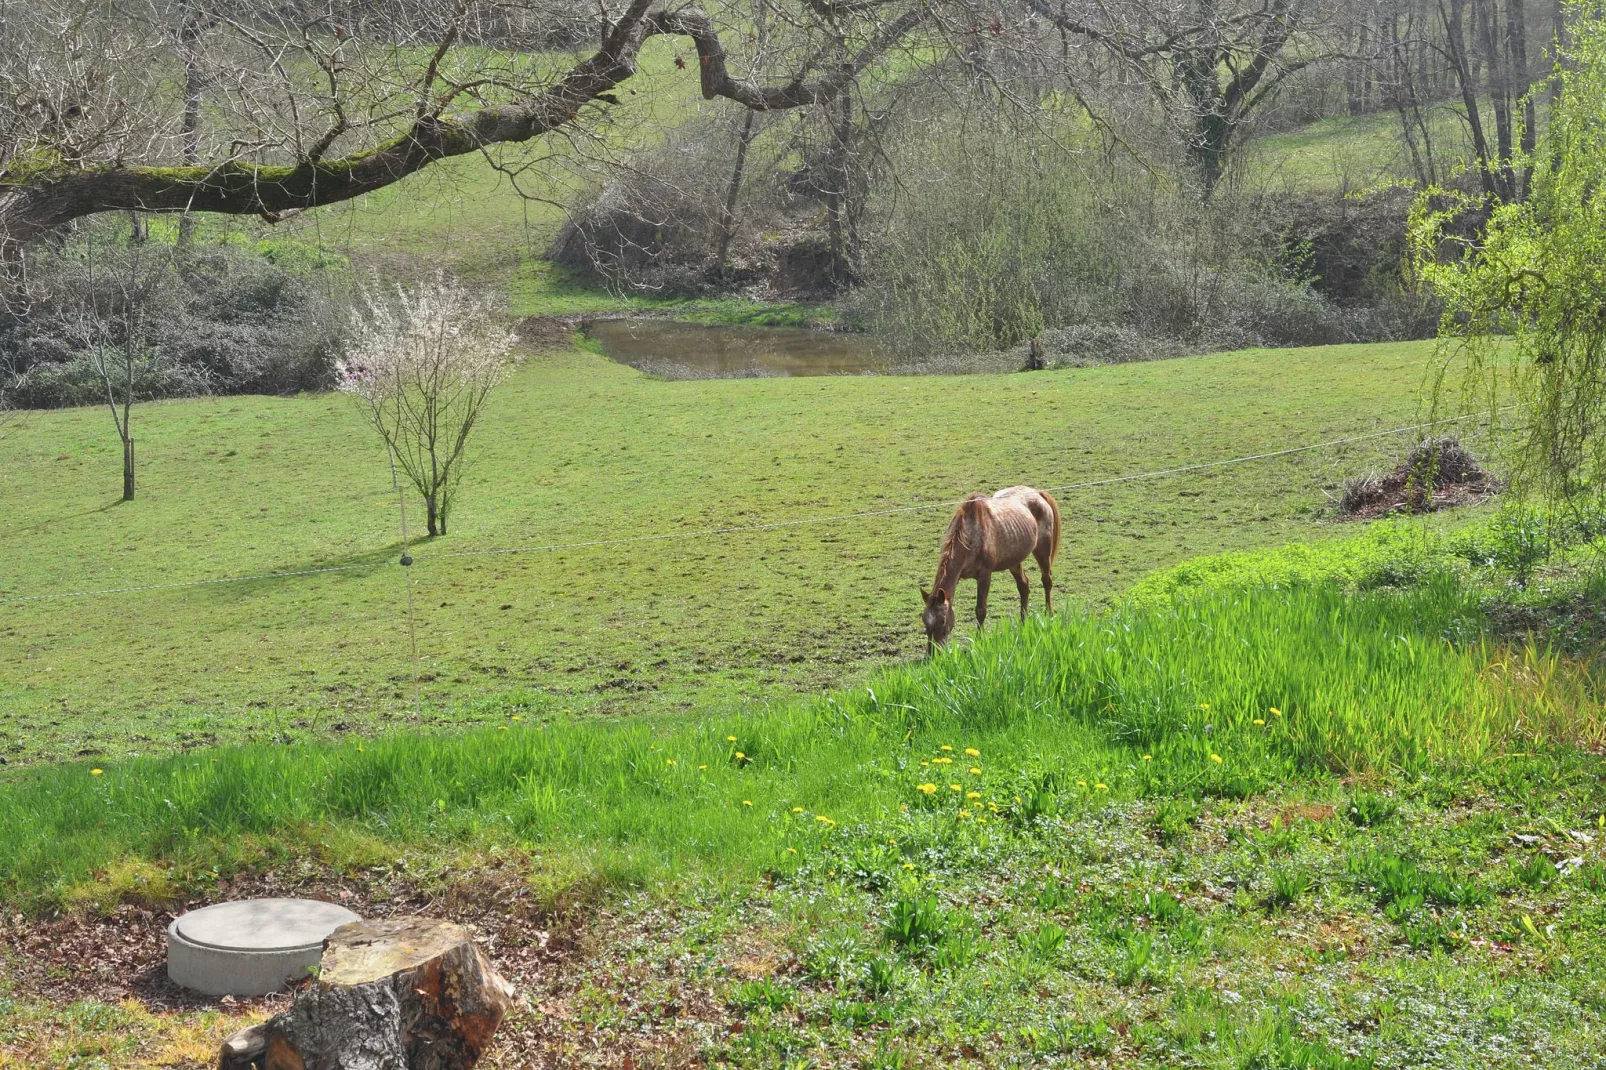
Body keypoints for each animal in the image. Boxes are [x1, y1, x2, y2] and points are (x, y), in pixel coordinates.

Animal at [925, 485, 1059, 649]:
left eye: (943, 620)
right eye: (924, 621)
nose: (933, 652)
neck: (971, 535)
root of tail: (1037, 493)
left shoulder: (984, 576)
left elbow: (980, 610)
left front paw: (979, 640)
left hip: (1042, 551)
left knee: (1047, 581)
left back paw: (1049, 614)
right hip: (1014, 561)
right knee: (1024, 586)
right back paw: (1023, 623)